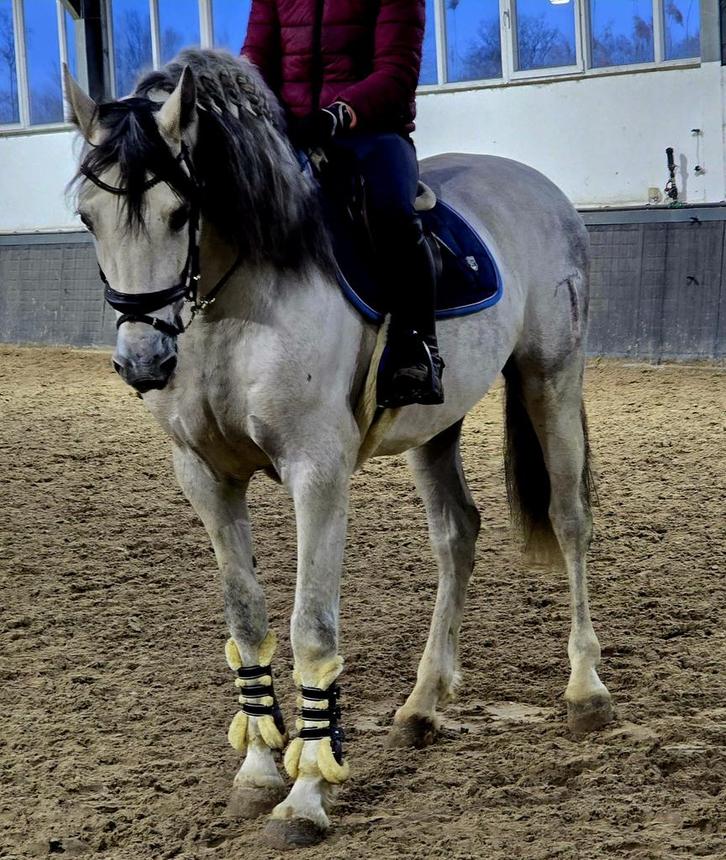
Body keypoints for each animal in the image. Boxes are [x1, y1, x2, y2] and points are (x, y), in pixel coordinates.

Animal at [64, 48, 614, 848]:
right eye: (87, 216)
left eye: (179, 212)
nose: (142, 362)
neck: (236, 309)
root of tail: (536, 185)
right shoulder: (206, 479)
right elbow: (247, 619)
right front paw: (258, 773)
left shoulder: (316, 473)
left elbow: (311, 630)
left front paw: (306, 797)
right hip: (434, 426)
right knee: (457, 534)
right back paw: (422, 704)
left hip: (552, 378)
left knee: (570, 520)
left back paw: (585, 691)